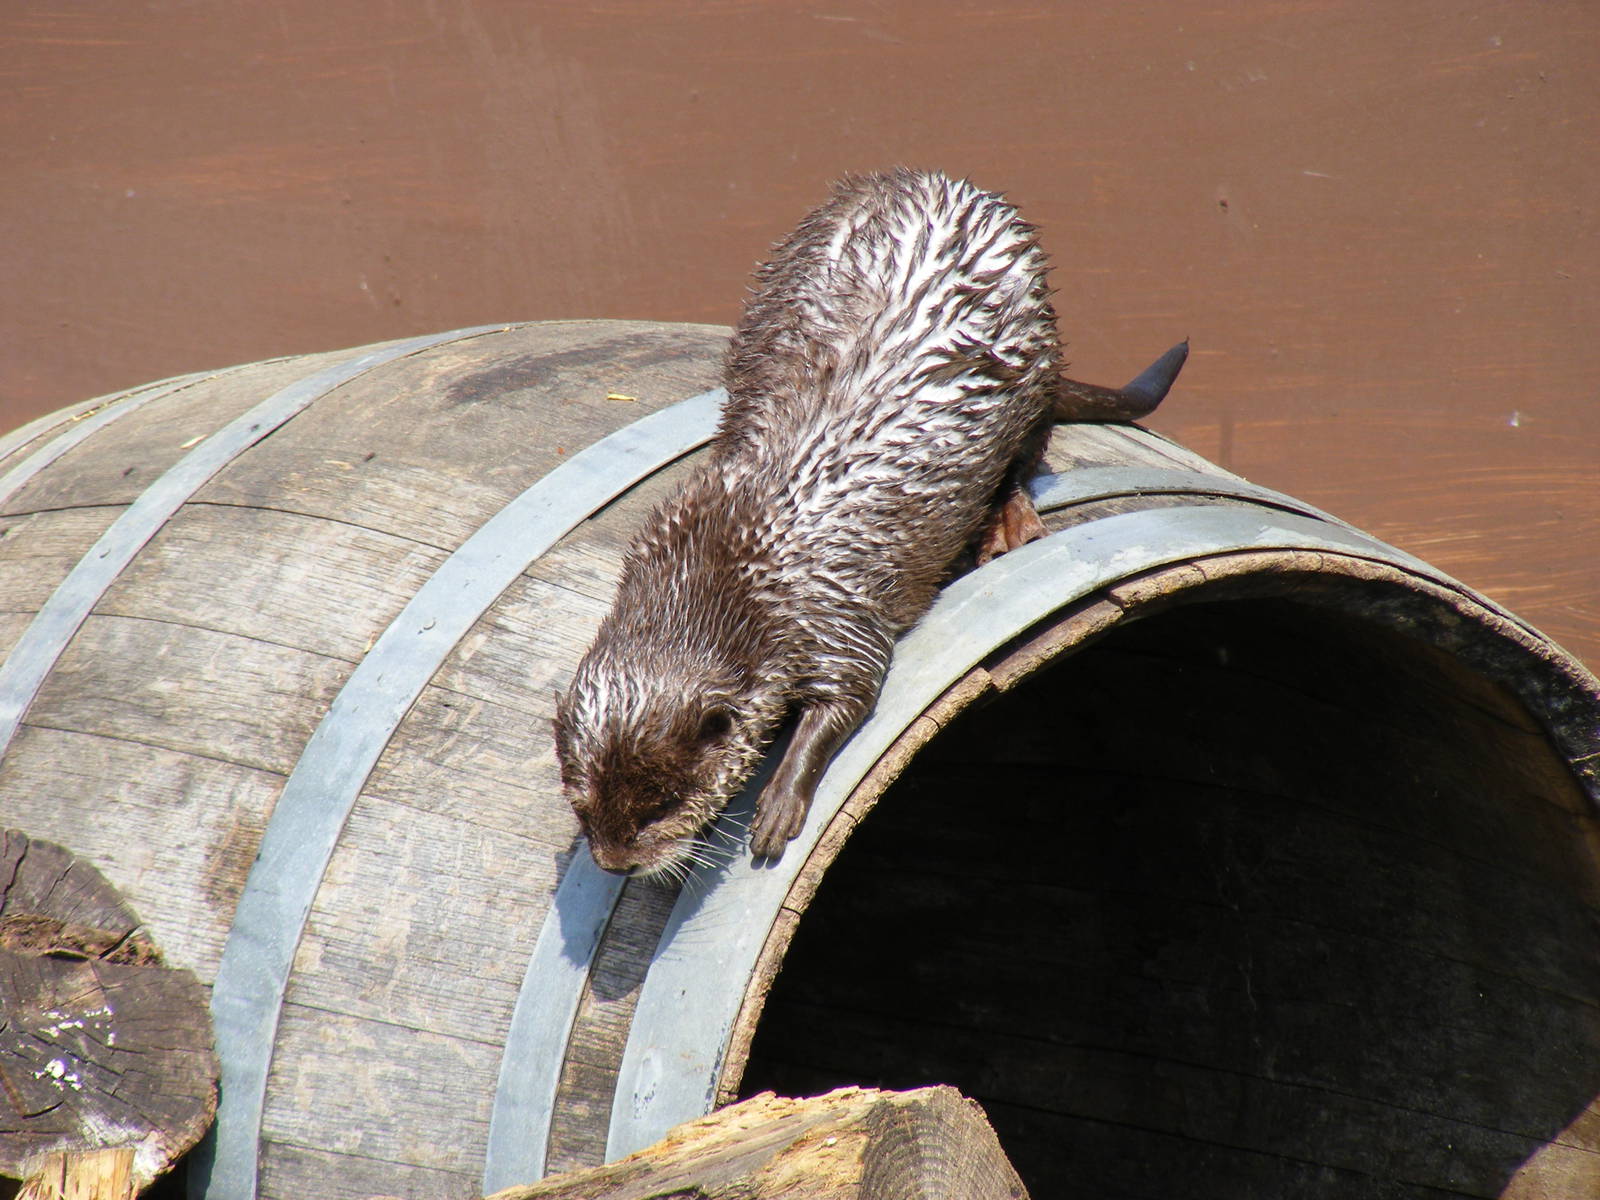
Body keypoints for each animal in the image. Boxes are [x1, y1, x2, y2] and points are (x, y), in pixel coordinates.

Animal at [553, 168, 1186, 875]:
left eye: (661, 803)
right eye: (584, 807)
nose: (615, 863)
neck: (727, 566)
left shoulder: (831, 613)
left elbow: (853, 691)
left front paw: (780, 804)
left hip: (1036, 361)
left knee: (1030, 444)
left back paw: (1008, 524)